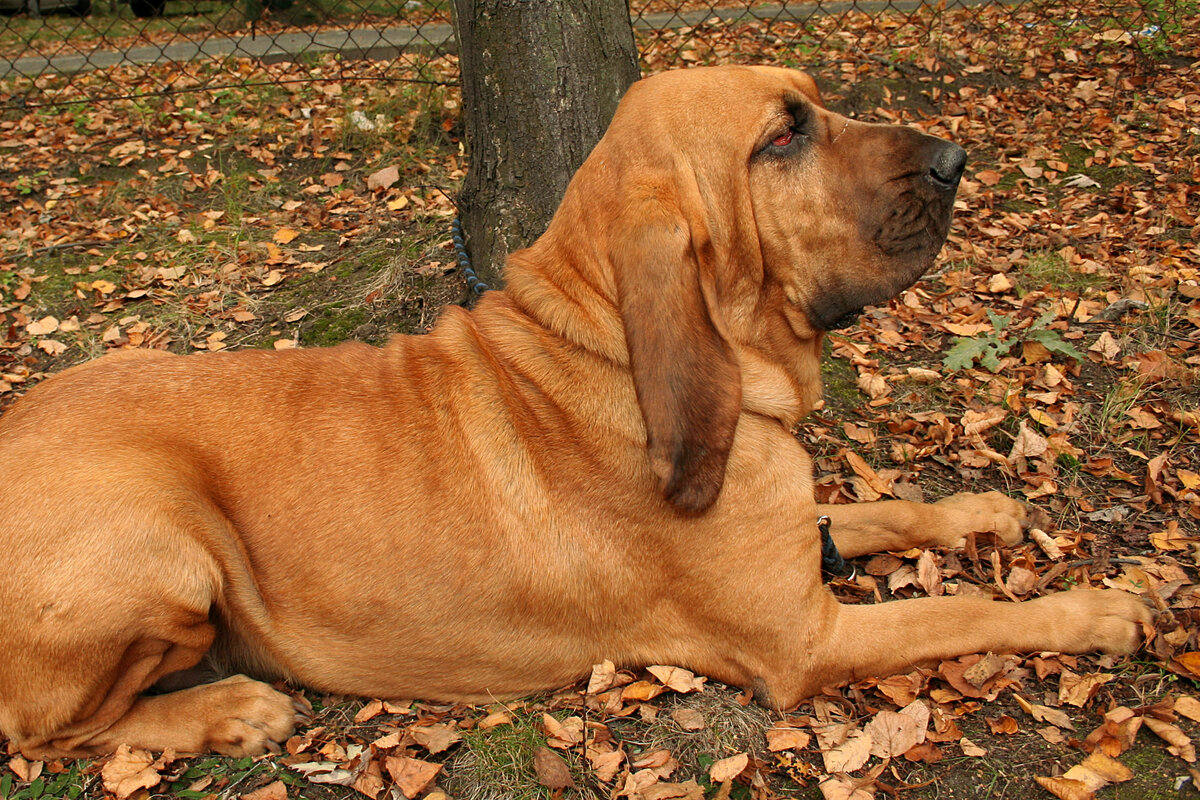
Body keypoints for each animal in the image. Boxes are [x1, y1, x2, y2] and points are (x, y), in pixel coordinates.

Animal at [0, 65, 1147, 762]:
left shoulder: (798, 539)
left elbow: (891, 510)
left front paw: (983, 513)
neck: (603, 347)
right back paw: (232, 707)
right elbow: (965, 614)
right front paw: (1099, 610)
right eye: (783, 138)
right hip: (166, 542)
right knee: (51, 732)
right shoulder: (804, 637)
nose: (957, 161)